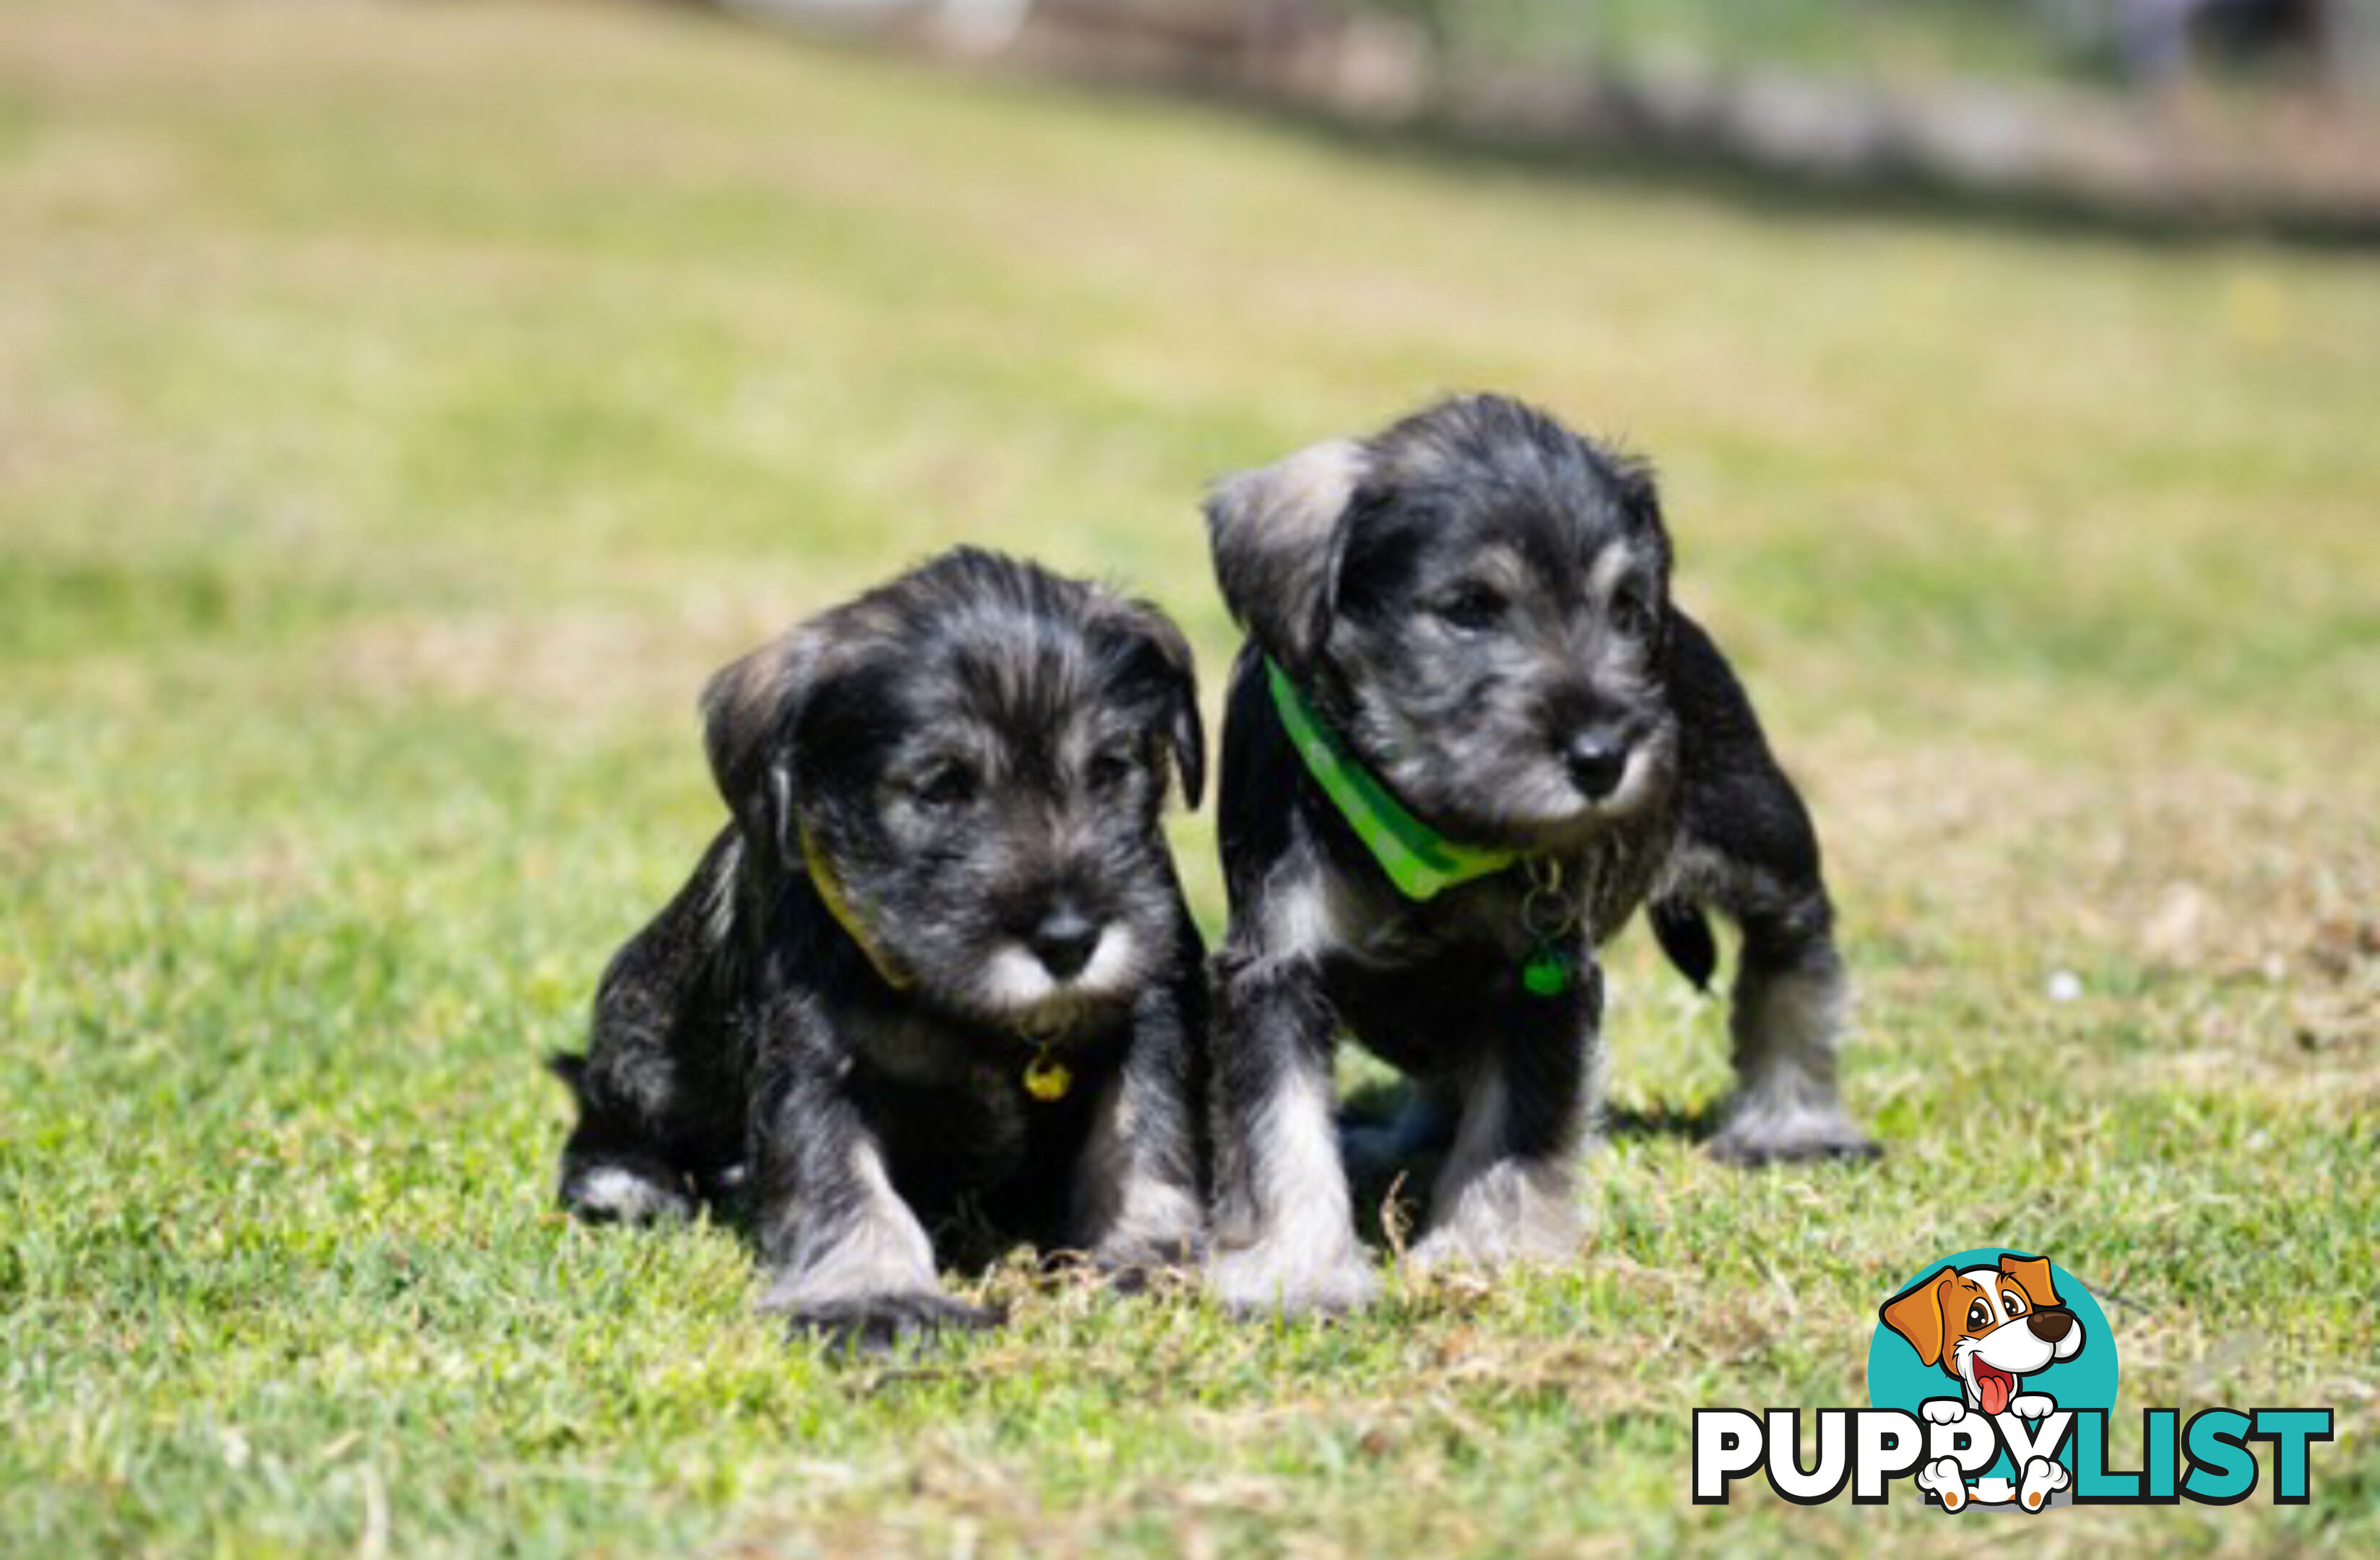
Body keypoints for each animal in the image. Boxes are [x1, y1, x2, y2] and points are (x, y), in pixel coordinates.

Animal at [554, 545, 1208, 1341]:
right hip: (640, 1044)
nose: (1068, 940)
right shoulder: (816, 1067)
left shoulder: (1147, 1021)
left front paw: (1153, 1257)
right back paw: (629, 1183)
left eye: (1111, 769)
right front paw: (876, 1296)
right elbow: (843, 1180)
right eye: (940, 787)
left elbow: (1145, 1140)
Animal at [1208, 392, 1875, 1312]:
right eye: (1469, 607)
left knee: (1794, 961)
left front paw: (1482, 1251)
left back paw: (1793, 1125)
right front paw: (1298, 1271)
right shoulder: (1275, 966)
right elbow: (1281, 1131)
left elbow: (1514, 1129)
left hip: (1766, 844)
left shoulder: (1538, 977)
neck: (1425, 817)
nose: (1602, 757)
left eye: (1624, 608)